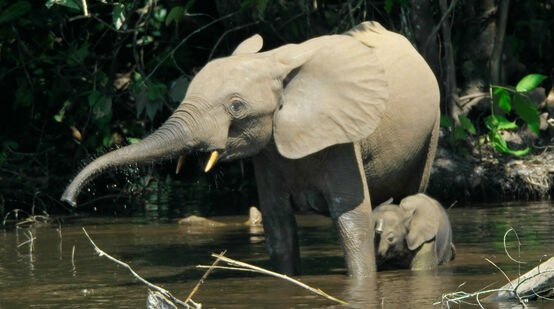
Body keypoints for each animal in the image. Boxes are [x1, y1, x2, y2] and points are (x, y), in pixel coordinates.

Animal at [61, 21, 440, 276]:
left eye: (237, 106)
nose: (68, 201)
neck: (274, 62)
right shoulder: (268, 151)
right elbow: (278, 226)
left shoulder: (342, 138)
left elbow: (351, 219)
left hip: (432, 130)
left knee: (410, 194)